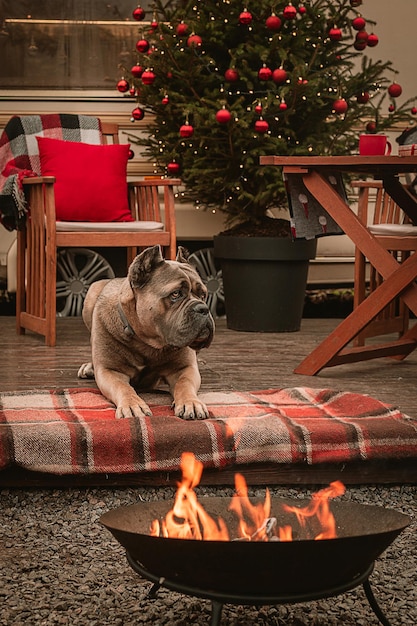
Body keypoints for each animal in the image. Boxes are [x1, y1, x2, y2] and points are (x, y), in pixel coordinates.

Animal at [78, 245, 214, 420]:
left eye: (203, 295)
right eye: (176, 294)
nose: (203, 308)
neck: (146, 341)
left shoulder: (184, 368)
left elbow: (184, 384)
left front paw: (191, 402)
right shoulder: (110, 371)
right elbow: (123, 386)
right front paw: (133, 405)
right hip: (91, 293)